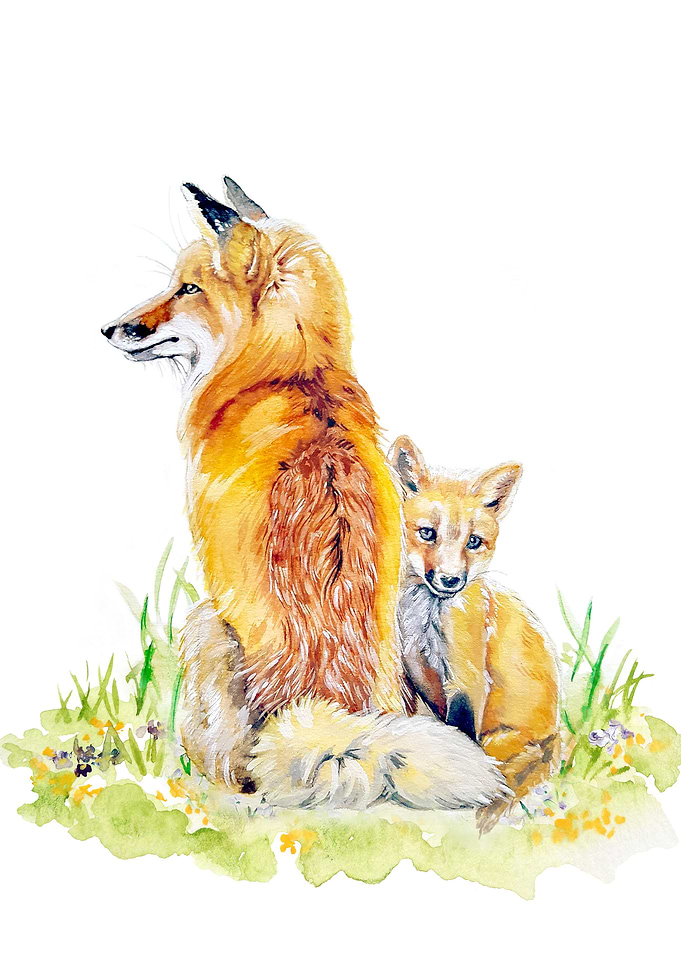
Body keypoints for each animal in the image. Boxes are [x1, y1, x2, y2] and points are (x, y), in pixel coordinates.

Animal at [102, 177, 508, 812]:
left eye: (187, 289)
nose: (110, 328)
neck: (292, 372)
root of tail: (330, 708)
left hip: (203, 624)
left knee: (235, 771)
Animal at [388, 436, 561, 830]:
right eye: (427, 533)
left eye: (474, 542)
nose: (451, 580)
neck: (425, 622)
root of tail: (559, 734)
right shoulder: (412, 673)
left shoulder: (466, 678)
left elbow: (461, 735)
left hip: (503, 740)